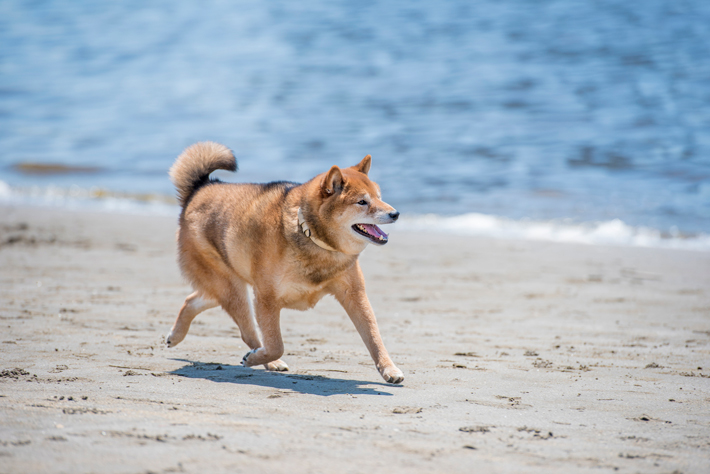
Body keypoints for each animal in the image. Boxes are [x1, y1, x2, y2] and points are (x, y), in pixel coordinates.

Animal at [163, 140, 404, 382]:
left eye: (380, 196)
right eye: (362, 202)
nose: (396, 214)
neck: (310, 235)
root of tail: (199, 189)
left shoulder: (354, 295)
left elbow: (374, 336)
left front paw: (389, 369)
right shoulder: (266, 298)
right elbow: (276, 344)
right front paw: (261, 357)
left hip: (227, 286)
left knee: (193, 300)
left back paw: (175, 336)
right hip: (232, 288)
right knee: (247, 331)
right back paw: (266, 361)